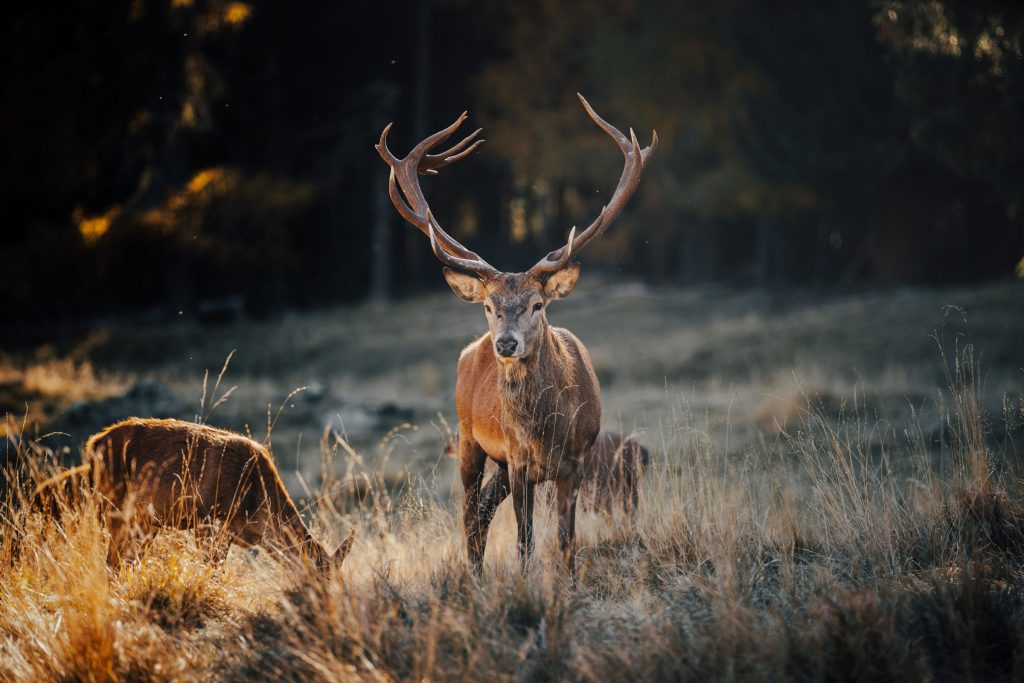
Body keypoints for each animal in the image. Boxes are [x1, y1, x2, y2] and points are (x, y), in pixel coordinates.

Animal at [31, 418, 353, 574]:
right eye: (318, 582)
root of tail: (93, 444)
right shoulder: (209, 521)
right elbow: (212, 569)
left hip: (146, 521)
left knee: (124, 559)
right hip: (114, 503)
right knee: (111, 557)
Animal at [376, 94, 656, 575]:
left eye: (538, 304)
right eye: (488, 306)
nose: (506, 343)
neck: (547, 429)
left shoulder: (575, 462)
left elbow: (566, 541)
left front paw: (567, 583)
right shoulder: (520, 460)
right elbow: (526, 543)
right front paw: (526, 582)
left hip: (501, 463)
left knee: (484, 511)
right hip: (470, 437)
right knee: (470, 512)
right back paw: (473, 574)